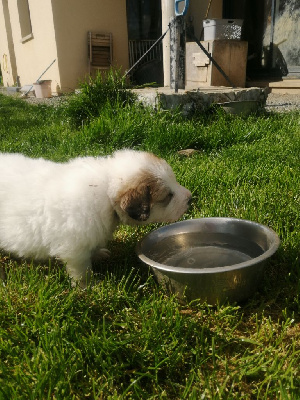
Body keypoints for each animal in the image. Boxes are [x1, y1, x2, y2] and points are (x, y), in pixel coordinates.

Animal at [0, 149, 191, 284]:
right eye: (168, 196)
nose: (190, 198)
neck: (106, 187)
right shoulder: (74, 248)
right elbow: (81, 269)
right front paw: (87, 286)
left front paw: (98, 253)